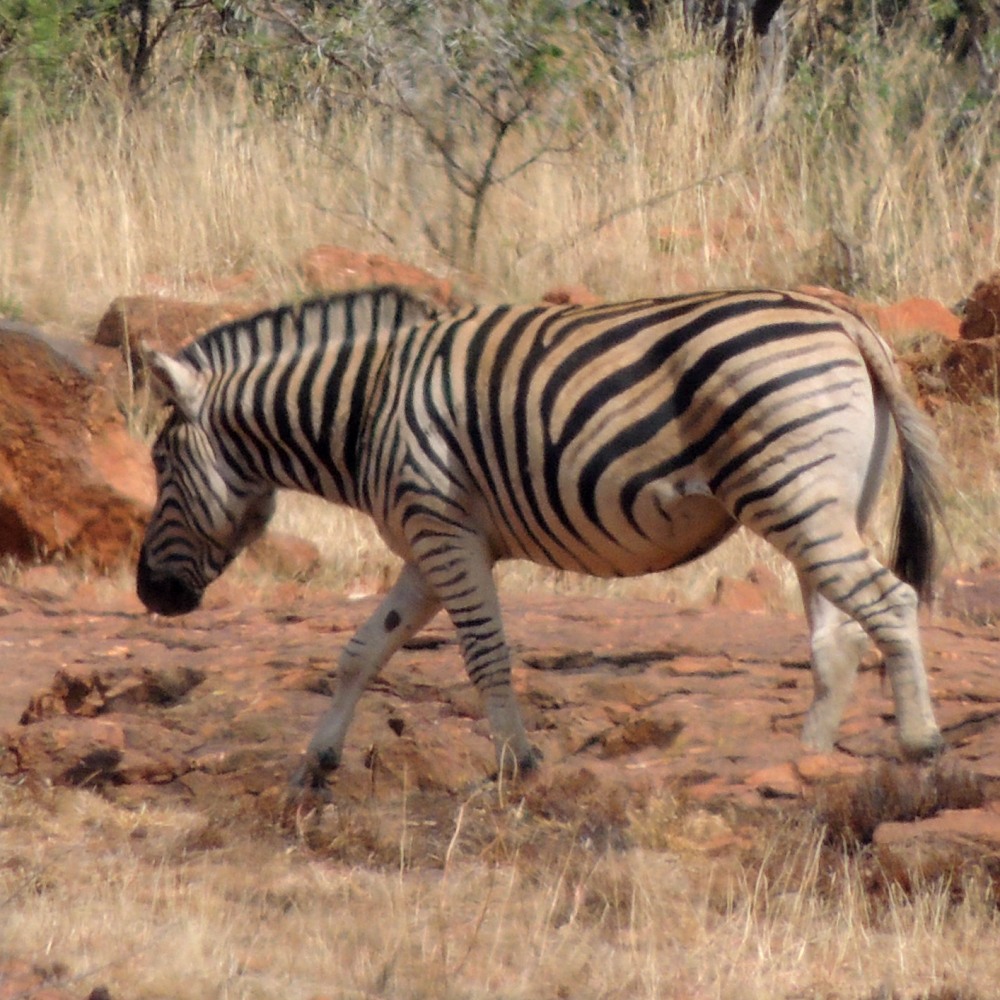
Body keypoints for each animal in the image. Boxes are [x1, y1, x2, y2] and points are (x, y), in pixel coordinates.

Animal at [136, 285, 946, 789]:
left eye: (159, 463)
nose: (150, 594)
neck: (363, 407)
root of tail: (841, 319)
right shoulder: (428, 548)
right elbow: (361, 651)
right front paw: (316, 762)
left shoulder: (444, 531)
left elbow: (484, 652)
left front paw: (514, 764)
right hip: (828, 502)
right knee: (837, 635)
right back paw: (802, 764)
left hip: (791, 492)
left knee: (891, 602)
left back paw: (921, 743)